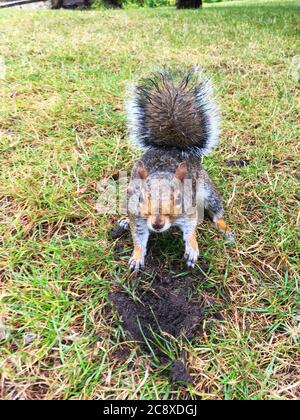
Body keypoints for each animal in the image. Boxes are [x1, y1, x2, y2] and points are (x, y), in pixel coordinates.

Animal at [119, 67, 234, 270]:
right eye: (140, 198)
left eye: (179, 198)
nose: (157, 224)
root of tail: (171, 147)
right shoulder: (137, 216)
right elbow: (138, 237)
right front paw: (137, 257)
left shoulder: (189, 210)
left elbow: (190, 229)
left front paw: (192, 249)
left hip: (207, 190)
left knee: (217, 212)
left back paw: (224, 228)